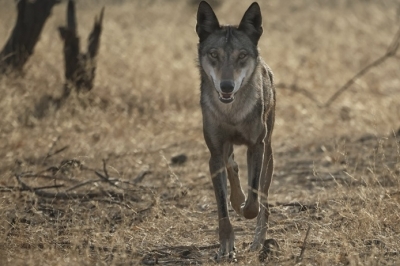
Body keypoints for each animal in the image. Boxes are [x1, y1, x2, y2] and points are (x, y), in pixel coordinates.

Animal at [195, 1, 276, 260]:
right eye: (214, 54)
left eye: (242, 55)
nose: (227, 86)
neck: (232, 113)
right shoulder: (214, 155)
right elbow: (222, 208)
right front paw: (226, 247)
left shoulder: (256, 146)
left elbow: (253, 203)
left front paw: (244, 209)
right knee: (232, 165)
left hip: (269, 153)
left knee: (264, 201)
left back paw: (258, 242)